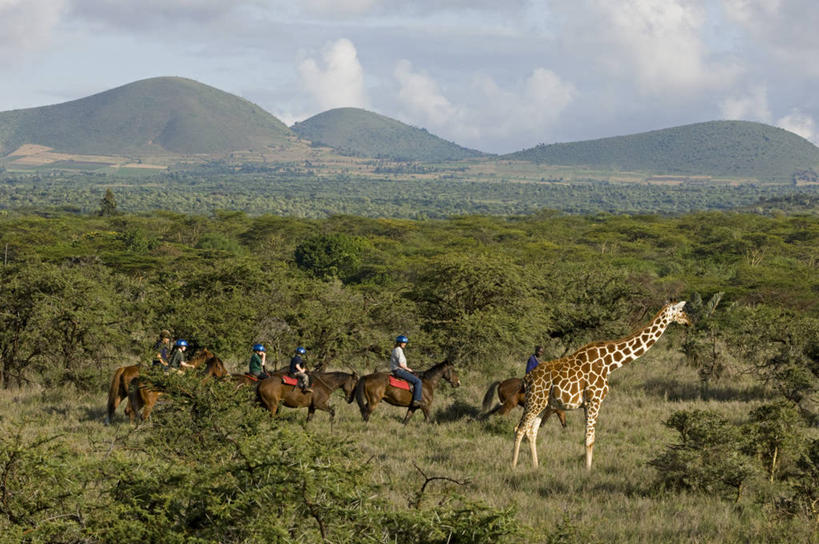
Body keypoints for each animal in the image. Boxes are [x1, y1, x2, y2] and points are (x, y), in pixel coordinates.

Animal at [512, 300, 692, 470]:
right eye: (681, 310)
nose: (689, 322)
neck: (609, 363)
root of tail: (527, 378)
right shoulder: (594, 401)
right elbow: (589, 439)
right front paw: (588, 472)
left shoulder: (587, 404)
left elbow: (589, 438)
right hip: (534, 402)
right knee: (519, 429)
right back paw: (512, 466)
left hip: (544, 404)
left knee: (531, 431)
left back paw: (536, 467)